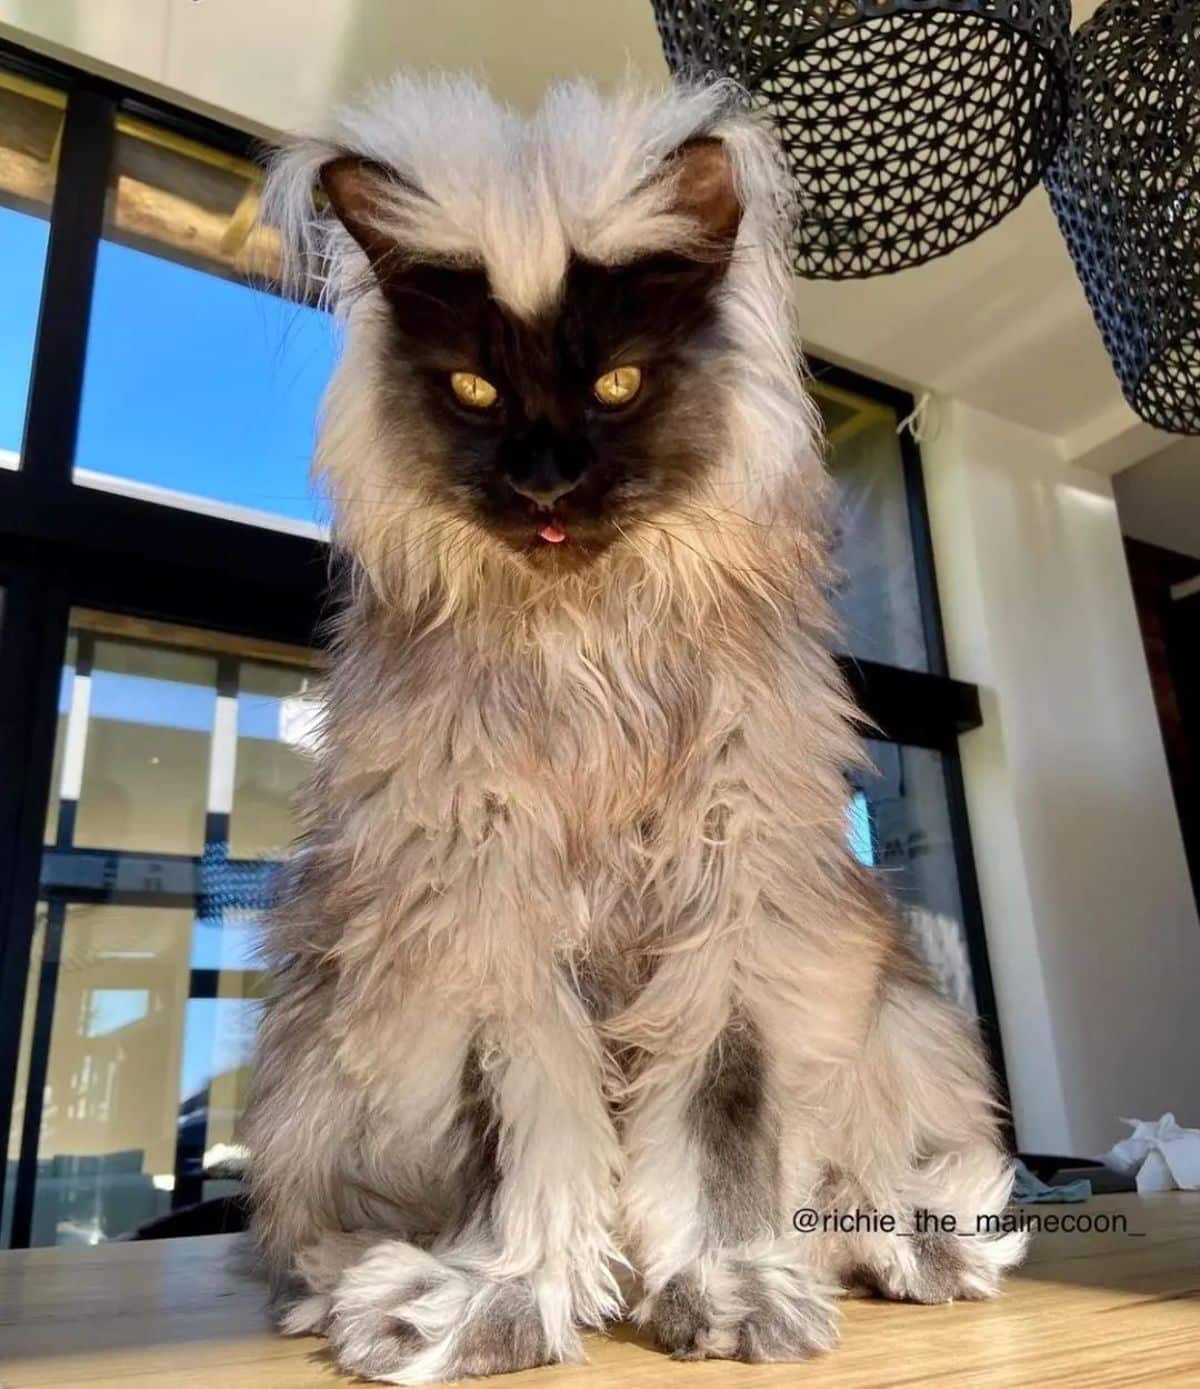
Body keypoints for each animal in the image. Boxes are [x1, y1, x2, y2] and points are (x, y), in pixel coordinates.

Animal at [241, 78, 1022, 1389]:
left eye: (616, 385)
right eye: (472, 391)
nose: (547, 484)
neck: (589, 646)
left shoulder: (734, 901)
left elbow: (722, 1122)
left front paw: (731, 1287)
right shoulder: (482, 914)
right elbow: (519, 1133)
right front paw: (494, 1297)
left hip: (900, 1022)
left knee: (869, 1175)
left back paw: (915, 1248)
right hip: (310, 1061)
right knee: (311, 1224)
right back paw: (348, 1285)